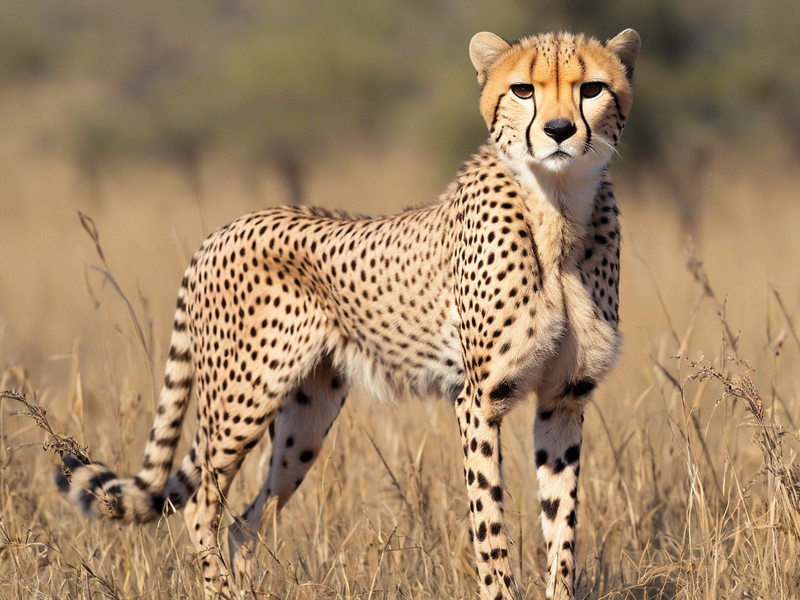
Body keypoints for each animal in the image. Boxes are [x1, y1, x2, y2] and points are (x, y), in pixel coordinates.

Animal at [57, 28, 640, 600]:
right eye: (523, 90)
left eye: (591, 88)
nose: (560, 130)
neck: (559, 209)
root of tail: (224, 228)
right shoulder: (479, 400)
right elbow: (490, 522)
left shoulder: (564, 397)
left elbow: (561, 523)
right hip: (241, 400)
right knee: (203, 505)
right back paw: (219, 590)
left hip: (304, 420)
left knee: (245, 522)